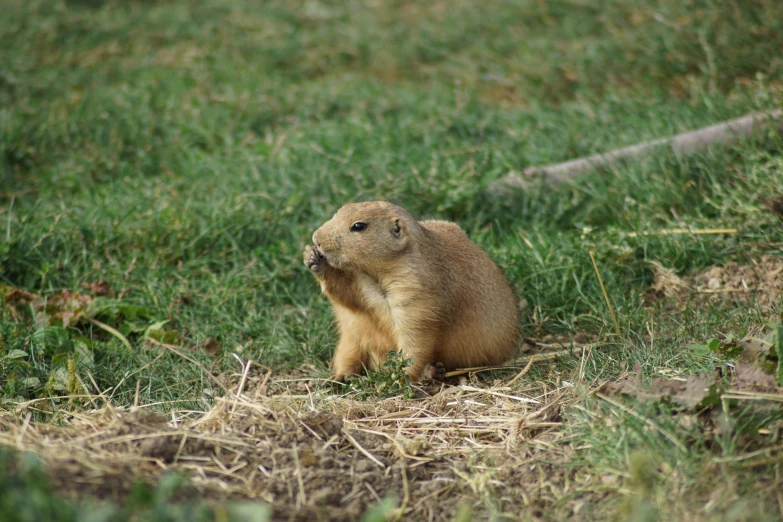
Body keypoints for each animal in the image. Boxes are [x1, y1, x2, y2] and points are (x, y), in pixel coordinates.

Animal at [304, 201, 520, 380]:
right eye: (341, 209)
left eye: (358, 226)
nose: (316, 238)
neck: (373, 274)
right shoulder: (360, 284)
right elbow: (350, 296)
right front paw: (311, 256)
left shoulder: (415, 293)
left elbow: (416, 336)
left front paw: (402, 376)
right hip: (349, 340)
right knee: (349, 360)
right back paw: (337, 378)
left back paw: (432, 372)